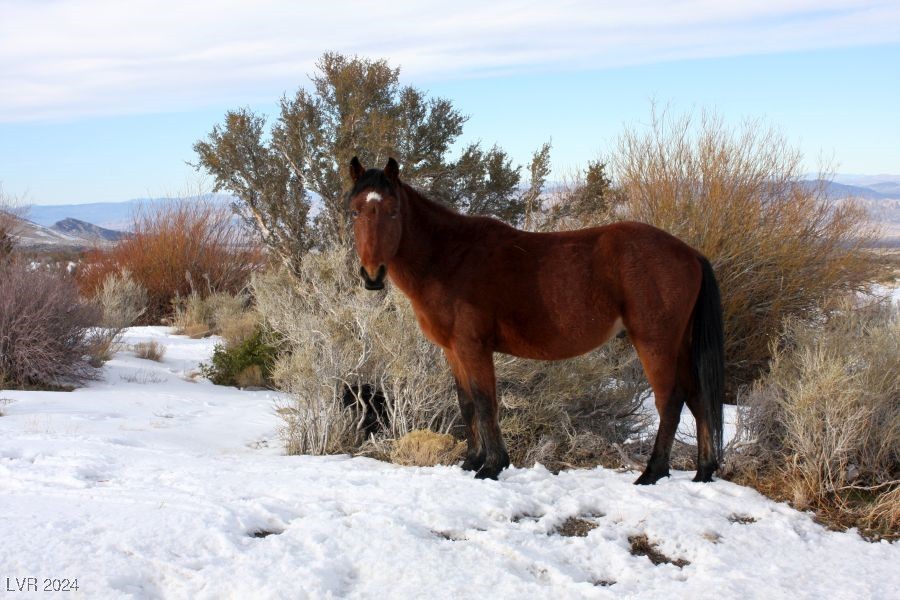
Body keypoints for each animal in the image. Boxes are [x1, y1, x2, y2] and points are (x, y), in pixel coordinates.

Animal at [344, 156, 724, 482]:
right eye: (355, 211)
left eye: (393, 211)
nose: (372, 275)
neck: (450, 257)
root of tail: (689, 252)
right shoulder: (452, 350)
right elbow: (467, 403)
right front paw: (471, 462)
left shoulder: (473, 346)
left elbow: (485, 401)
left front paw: (492, 466)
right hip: (680, 343)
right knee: (697, 398)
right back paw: (703, 471)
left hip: (655, 342)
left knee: (670, 400)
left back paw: (652, 473)